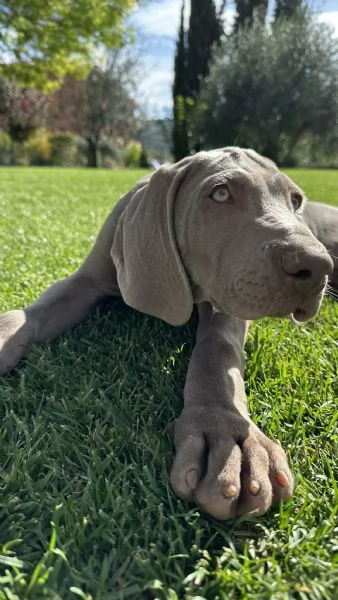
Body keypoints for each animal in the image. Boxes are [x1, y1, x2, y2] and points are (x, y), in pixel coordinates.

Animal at [0, 148, 338, 516]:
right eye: (221, 193)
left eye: (296, 200)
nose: (316, 266)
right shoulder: (84, 281)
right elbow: (32, 313)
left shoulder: (225, 304)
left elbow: (216, 350)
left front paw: (226, 434)